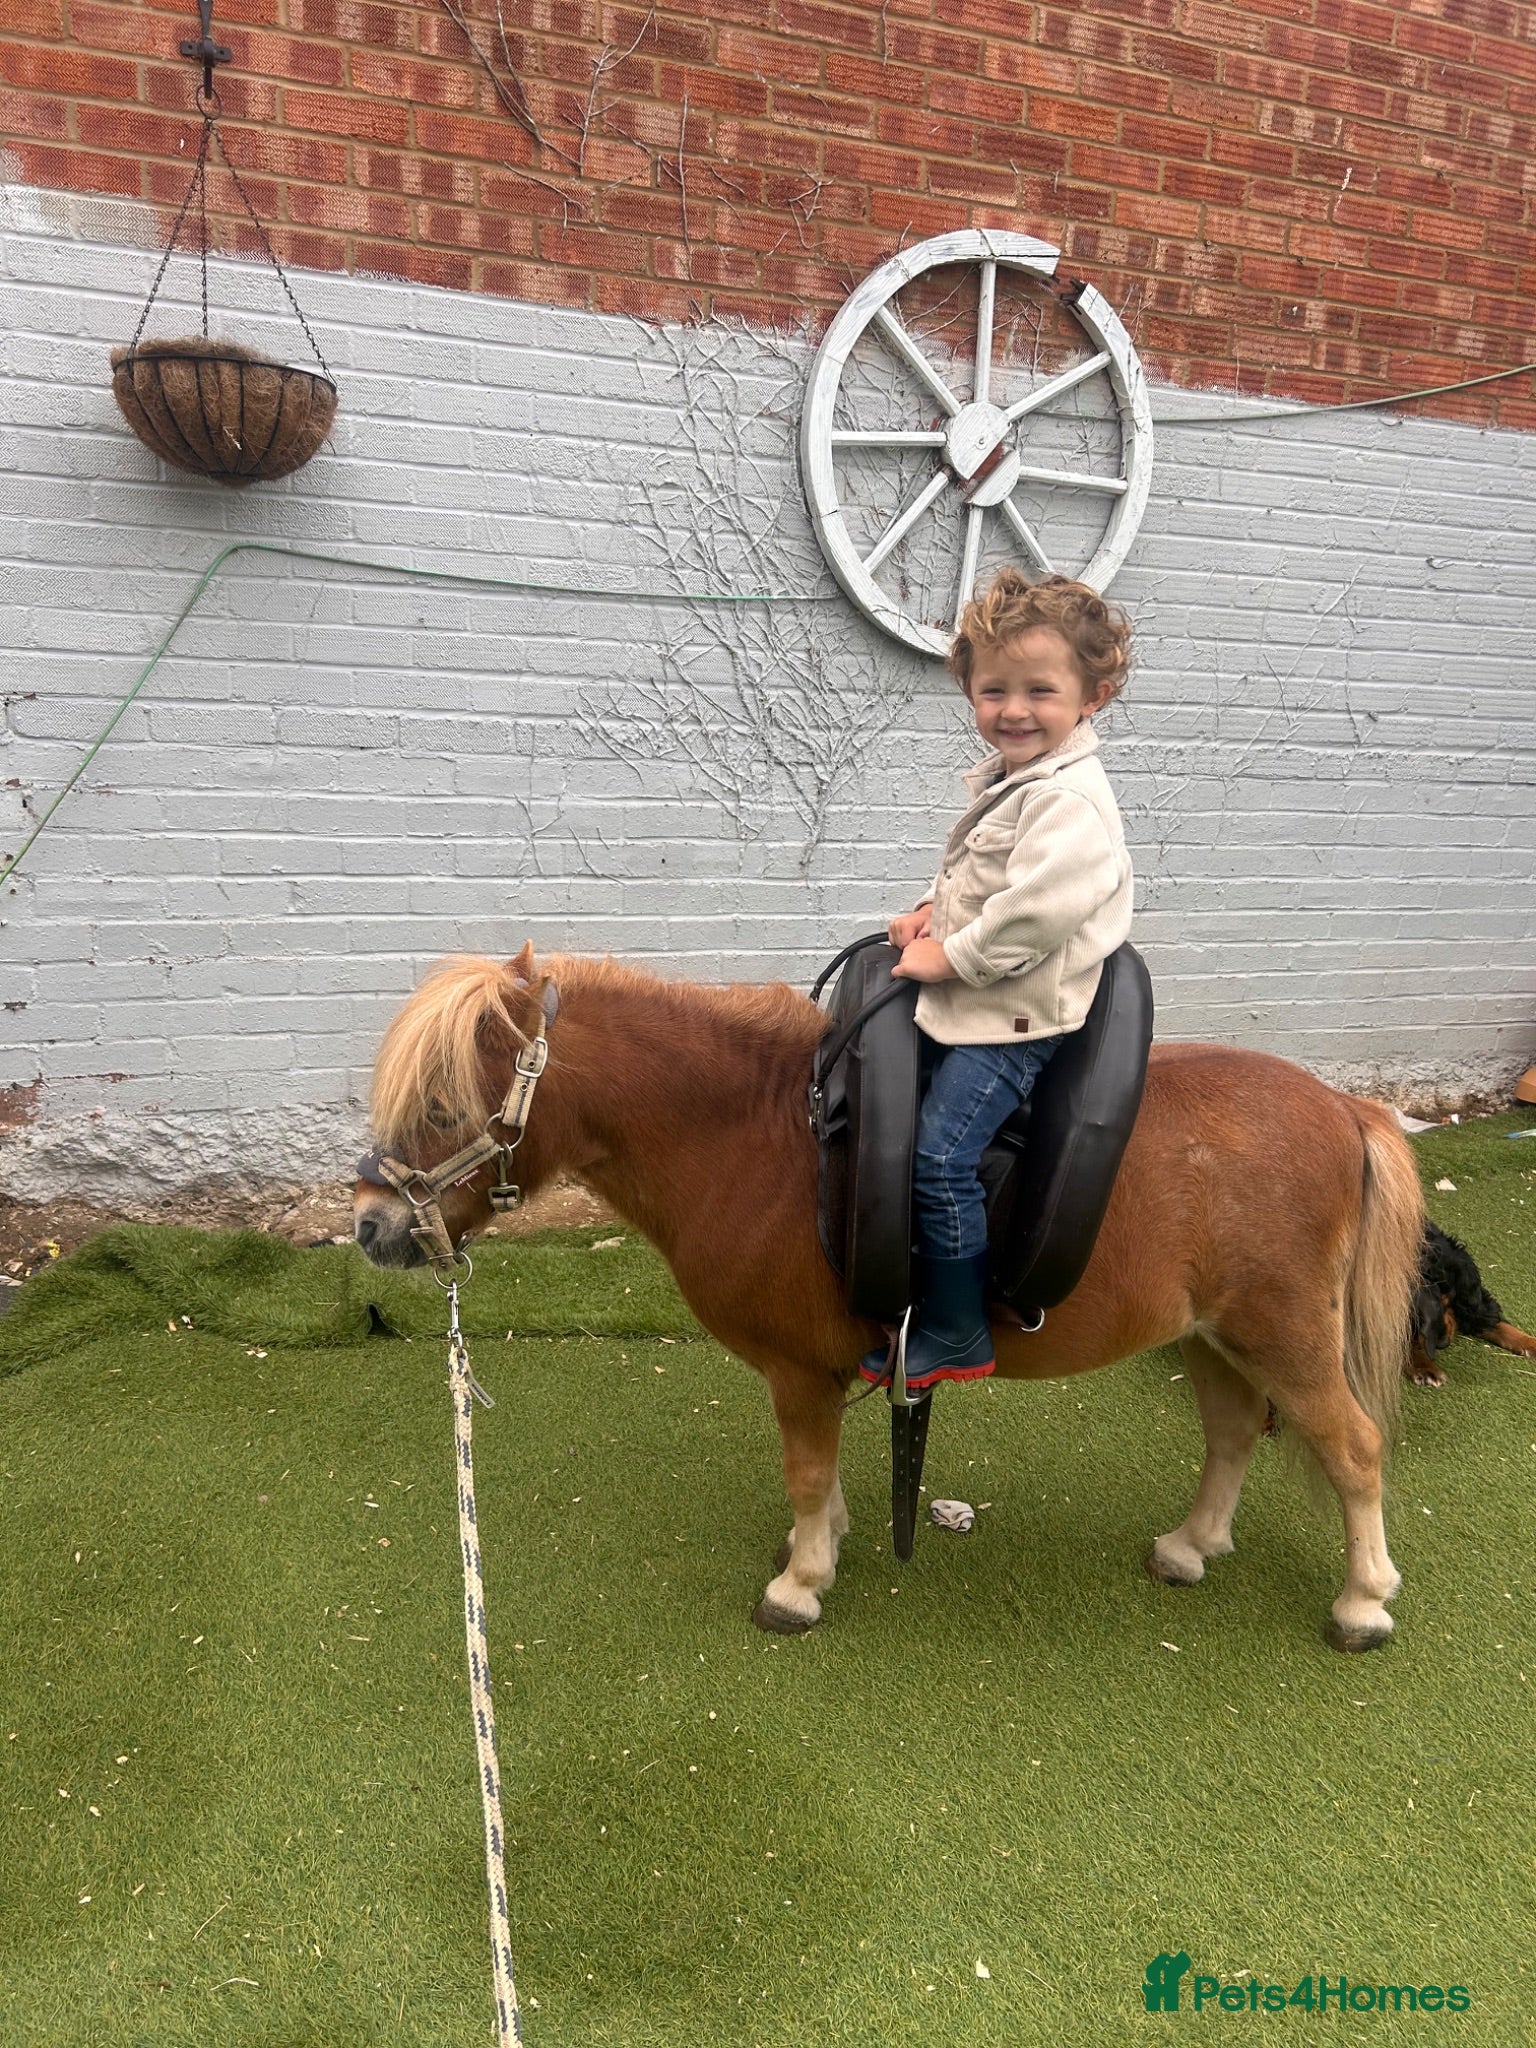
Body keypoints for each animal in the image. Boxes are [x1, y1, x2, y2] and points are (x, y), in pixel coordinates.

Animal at [353, 943, 1424, 1653]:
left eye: (442, 1103)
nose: (369, 1226)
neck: (754, 1134)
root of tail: (1347, 1110)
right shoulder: (817, 1374)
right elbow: (819, 1479)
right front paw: (823, 1542)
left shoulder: (795, 1371)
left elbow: (805, 1473)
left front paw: (799, 1582)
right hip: (1211, 1332)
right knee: (1236, 1429)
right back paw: (1193, 1545)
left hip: (1284, 1331)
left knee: (1354, 1449)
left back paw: (1364, 1600)